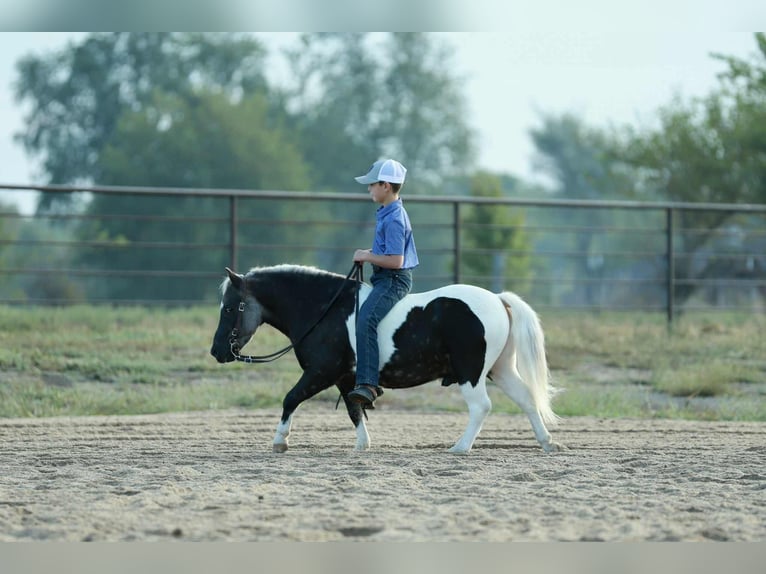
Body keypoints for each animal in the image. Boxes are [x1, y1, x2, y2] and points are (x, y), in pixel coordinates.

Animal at [210, 264, 562, 454]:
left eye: (229, 307)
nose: (217, 351)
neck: (326, 309)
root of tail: (498, 299)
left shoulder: (320, 372)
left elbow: (290, 399)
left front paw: (280, 441)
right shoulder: (345, 378)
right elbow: (354, 409)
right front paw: (362, 445)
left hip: (470, 372)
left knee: (481, 407)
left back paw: (460, 447)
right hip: (500, 369)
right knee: (527, 399)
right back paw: (547, 442)